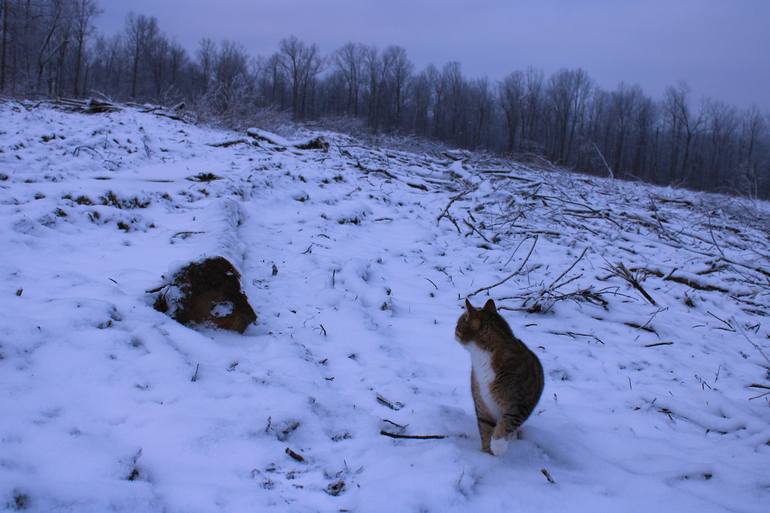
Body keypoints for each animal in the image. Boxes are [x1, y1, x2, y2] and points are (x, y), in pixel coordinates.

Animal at [452, 298, 544, 454]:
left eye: (458, 325)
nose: (453, 331)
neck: (483, 358)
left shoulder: (519, 402)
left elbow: (507, 422)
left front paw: (498, 446)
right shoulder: (481, 400)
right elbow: (485, 427)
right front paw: (486, 453)